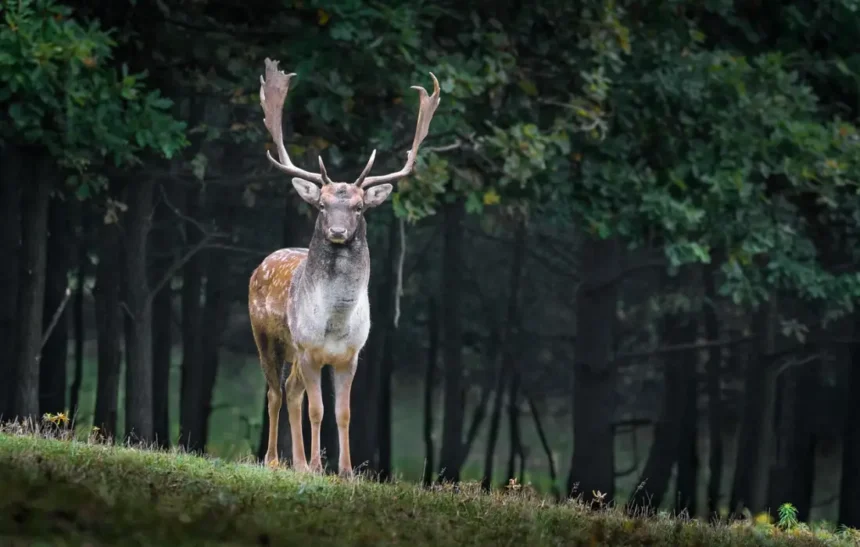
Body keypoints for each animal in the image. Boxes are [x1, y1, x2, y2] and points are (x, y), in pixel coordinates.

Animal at [245, 57, 440, 478]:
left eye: (359, 207)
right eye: (321, 205)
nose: (336, 231)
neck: (334, 322)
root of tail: (262, 263)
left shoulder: (350, 355)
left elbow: (344, 413)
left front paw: (346, 471)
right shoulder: (309, 349)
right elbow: (318, 410)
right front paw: (320, 466)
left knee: (291, 391)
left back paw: (298, 463)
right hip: (266, 337)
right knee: (275, 392)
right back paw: (274, 459)